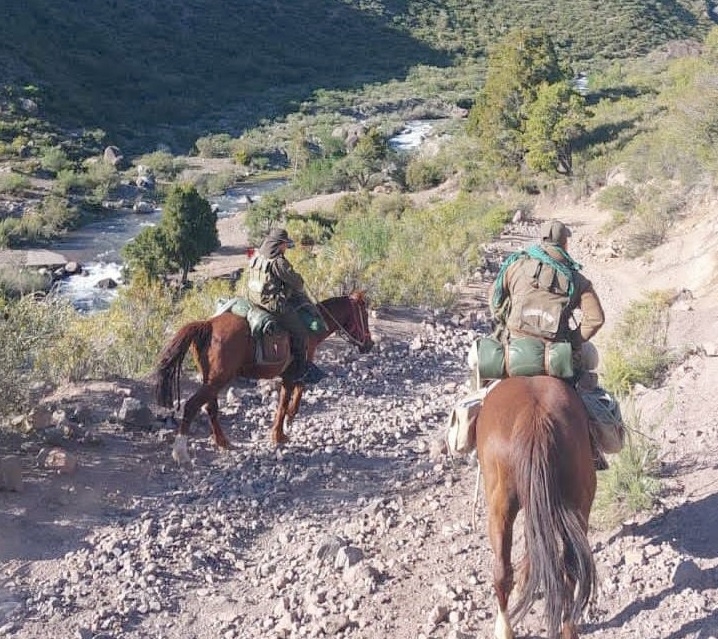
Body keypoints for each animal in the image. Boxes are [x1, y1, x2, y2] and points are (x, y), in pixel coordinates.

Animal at [154, 292, 374, 462]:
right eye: (364, 315)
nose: (369, 344)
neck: (311, 327)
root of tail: (207, 325)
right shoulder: (295, 371)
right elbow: (287, 400)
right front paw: (281, 432)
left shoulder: (290, 374)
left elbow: (291, 396)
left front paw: (284, 426)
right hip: (218, 380)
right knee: (192, 405)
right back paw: (181, 453)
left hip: (211, 379)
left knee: (210, 408)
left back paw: (224, 442)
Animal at [476, 376, 600, 639]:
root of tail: (533, 418)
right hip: (578, 501)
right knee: (570, 565)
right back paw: (567, 628)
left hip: (500, 507)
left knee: (503, 571)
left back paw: (505, 628)